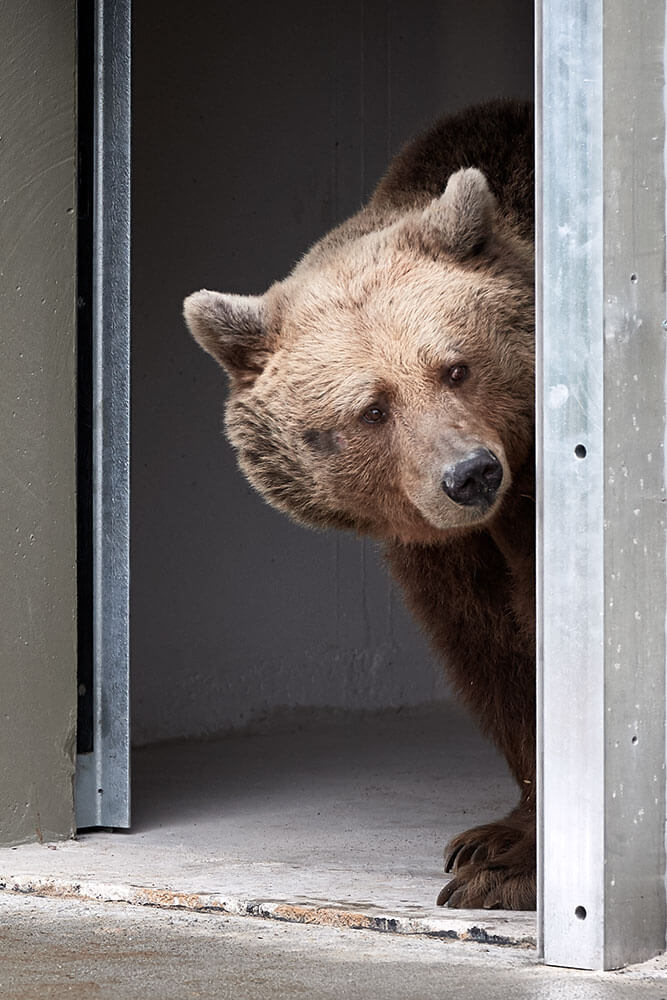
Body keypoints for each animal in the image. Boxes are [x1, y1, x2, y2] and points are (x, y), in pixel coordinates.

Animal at [183, 99, 536, 910]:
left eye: (455, 367)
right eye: (373, 409)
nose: (470, 475)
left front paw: (507, 869)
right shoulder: (437, 545)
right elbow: (489, 649)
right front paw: (492, 842)